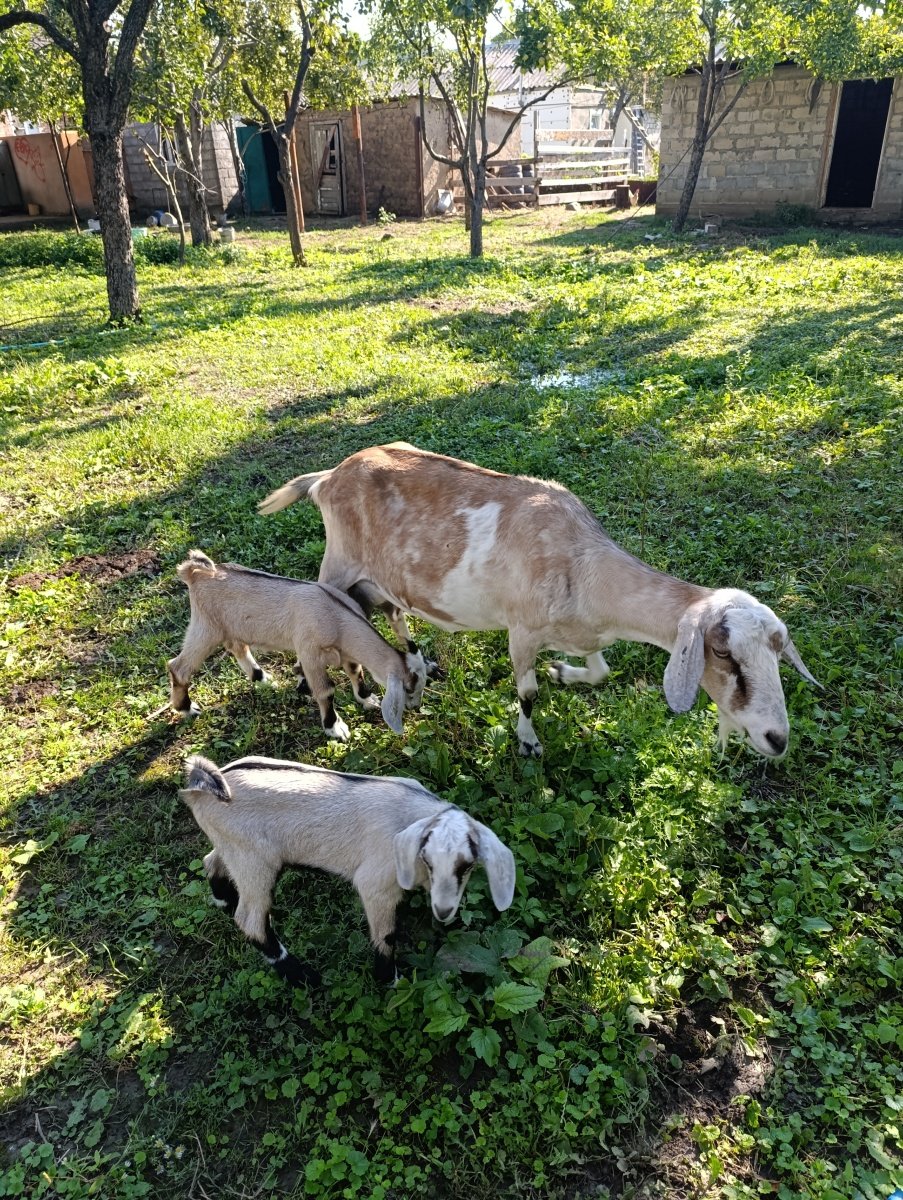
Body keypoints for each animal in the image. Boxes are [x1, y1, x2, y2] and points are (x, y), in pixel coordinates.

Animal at [168, 551, 426, 741]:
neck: (336, 616)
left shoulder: (346, 652)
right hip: (206, 627)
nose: (415, 707)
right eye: (408, 689)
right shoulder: (309, 652)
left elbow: (356, 672)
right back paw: (188, 708)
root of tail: (194, 573)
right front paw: (335, 728)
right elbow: (325, 691)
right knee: (178, 667)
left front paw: (366, 698)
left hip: (230, 626)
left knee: (237, 647)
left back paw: (262, 678)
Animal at [179, 754, 517, 984]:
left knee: (211, 861)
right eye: (427, 860)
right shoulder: (376, 885)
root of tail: (202, 787)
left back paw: (224, 900)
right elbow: (386, 935)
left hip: (233, 848)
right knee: (251, 921)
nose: (444, 911)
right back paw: (301, 975)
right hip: (256, 862)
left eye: (467, 865)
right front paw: (390, 980)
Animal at [259, 442, 820, 758]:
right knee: (327, 608)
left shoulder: (584, 633)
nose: (777, 740)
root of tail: (327, 478)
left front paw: (563, 674)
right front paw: (528, 740)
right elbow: (527, 693)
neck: (581, 563)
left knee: (395, 612)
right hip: (339, 565)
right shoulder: (522, 631)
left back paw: (417, 667)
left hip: (384, 577)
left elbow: (601, 673)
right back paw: (334, 692)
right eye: (724, 654)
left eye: (777, 653)